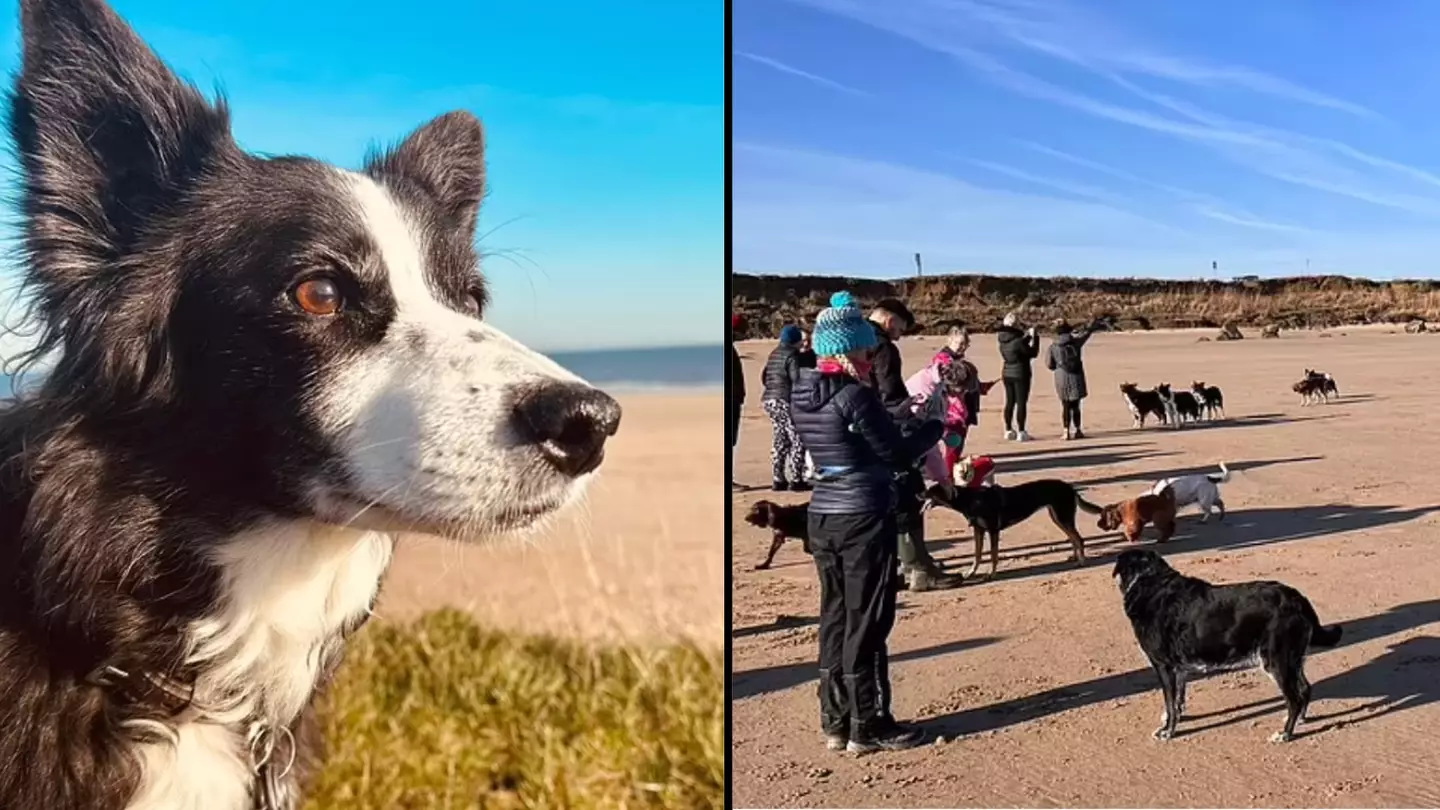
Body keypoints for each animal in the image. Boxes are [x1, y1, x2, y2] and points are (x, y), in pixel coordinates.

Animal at [1111, 547, 1336, 743]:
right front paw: (1175, 719)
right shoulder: (1179, 669)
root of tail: (1297, 599)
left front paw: (1168, 731)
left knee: (1294, 699)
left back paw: (1285, 734)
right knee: (1305, 689)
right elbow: (1177, 701)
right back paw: (1299, 720)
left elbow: (1170, 702)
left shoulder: (1164, 666)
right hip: (1294, 659)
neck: (1149, 580)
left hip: (1276, 661)